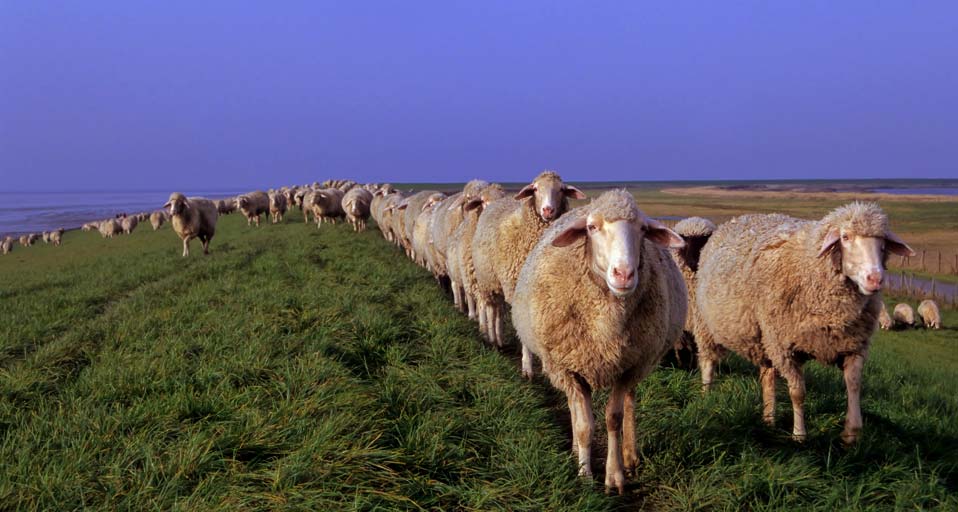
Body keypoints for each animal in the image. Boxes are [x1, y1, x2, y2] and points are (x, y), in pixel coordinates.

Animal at [447, 184, 507, 321]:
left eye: (503, 197)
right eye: (482, 200)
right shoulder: (470, 275)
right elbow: (473, 298)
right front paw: (474, 316)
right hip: (456, 272)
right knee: (458, 288)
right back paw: (461, 306)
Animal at [472, 171, 586, 345]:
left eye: (561, 189)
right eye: (535, 189)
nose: (548, 210)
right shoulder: (515, 287)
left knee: (498, 310)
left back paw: (499, 338)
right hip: (487, 279)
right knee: (491, 308)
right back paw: (492, 338)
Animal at [511, 190, 687, 492]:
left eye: (643, 229)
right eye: (592, 228)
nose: (624, 274)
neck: (606, 327)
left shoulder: (628, 367)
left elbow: (613, 419)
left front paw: (614, 476)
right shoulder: (569, 367)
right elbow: (584, 425)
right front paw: (584, 474)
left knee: (629, 402)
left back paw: (630, 455)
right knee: (574, 407)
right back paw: (575, 449)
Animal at [668, 217, 718, 366]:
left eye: (704, 240)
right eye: (684, 240)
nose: (693, 261)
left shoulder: (701, 321)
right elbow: (683, 343)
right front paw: (684, 365)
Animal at [694, 202, 915, 444]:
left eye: (882, 242)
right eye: (845, 237)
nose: (875, 279)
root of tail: (736, 219)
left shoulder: (853, 345)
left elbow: (855, 386)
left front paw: (852, 433)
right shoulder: (785, 348)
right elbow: (798, 393)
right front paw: (799, 435)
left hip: (765, 339)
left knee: (767, 376)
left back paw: (768, 418)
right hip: (708, 324)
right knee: (708, 361)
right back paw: (706, 394)